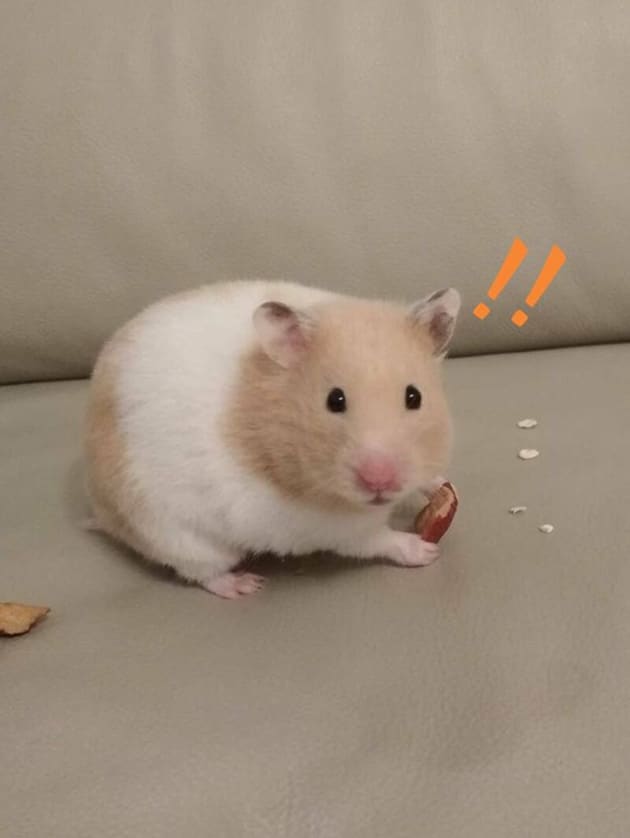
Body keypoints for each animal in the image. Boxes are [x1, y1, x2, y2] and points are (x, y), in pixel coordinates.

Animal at [84, 280, 460, 598]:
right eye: (334, 400)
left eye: (414, 396)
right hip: (179, 536)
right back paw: (245, 585)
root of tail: (101, 510)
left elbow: (426, 480)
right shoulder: (329, 528)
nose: (379, 480)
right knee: (202, 572)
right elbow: (378, 540)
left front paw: (441, 486)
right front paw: (426, 552)